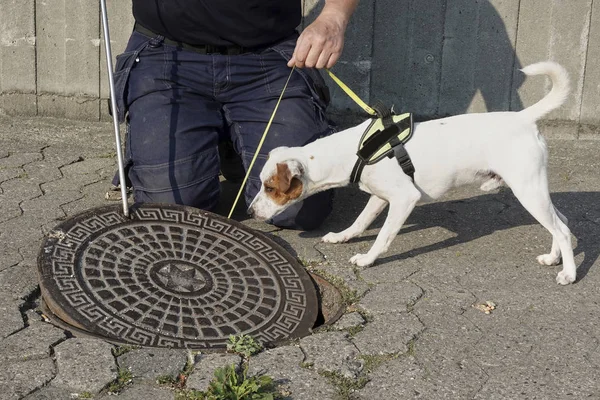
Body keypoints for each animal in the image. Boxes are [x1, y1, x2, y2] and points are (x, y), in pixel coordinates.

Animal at [248, 61, 576, 284]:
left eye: (270, 187)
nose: (249, 211)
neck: (353, 151)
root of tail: (523, 118)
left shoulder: (404, 198)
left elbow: (383, 236)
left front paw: (368, 259)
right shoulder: (380, 197)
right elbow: (360, 222)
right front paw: (343, 237)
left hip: (527, 191)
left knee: (560, 229)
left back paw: (570, 274)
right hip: (534, 191)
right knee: (563, 223)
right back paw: (554, 258)